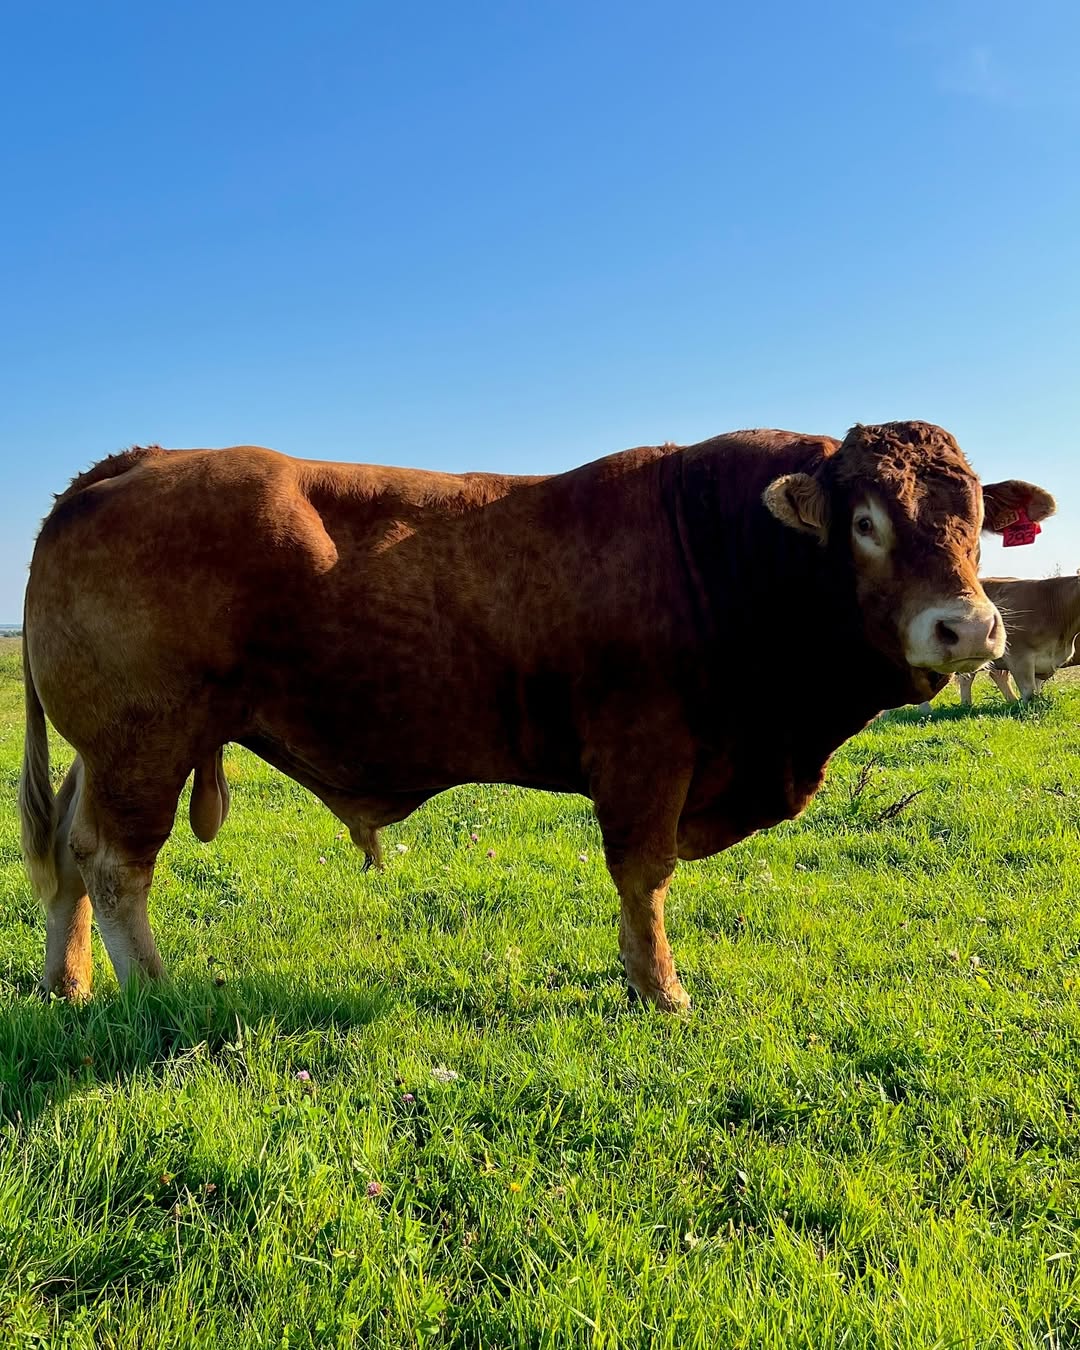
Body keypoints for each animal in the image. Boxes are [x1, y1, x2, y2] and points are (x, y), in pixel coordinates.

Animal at [19, 421, 1054, 1010]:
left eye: (976, 522)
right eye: (867, 522)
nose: (969, 626)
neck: (720, 549)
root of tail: (136, 462)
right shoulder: (646, 756)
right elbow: (644, 875)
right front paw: (659, 989)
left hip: (105, 749)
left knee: (69, 844)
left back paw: (69, 984)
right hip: (144, 740)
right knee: (115, 862)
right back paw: (156, 995)